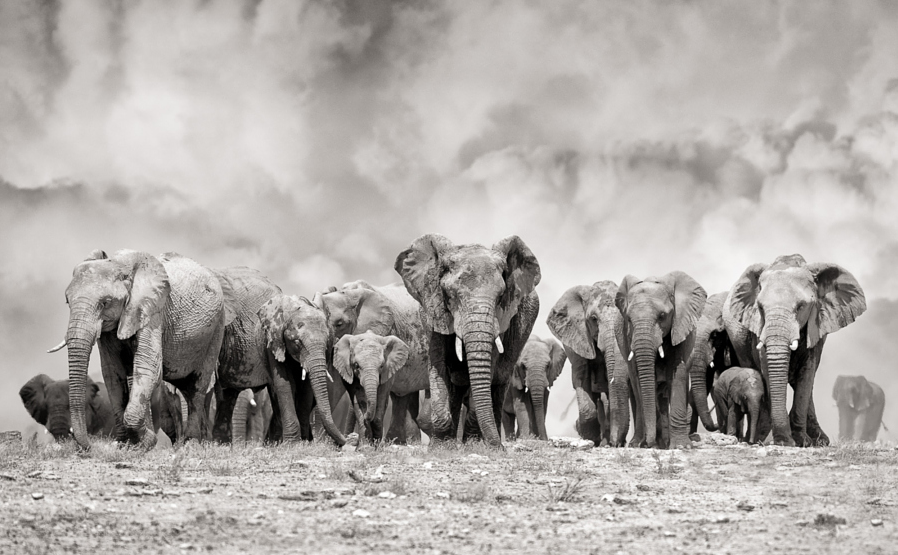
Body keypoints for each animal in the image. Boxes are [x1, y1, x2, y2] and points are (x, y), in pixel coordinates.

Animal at [50, 249, 226, 449]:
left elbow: (149, 367)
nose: (90, 446)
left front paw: (146, 441)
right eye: (67, 302)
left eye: (105, 302)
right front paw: (123, 444)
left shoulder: (153, 311)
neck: (119, 265)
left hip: (217, 328)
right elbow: (112, 373)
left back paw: (190, 444)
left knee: (197, 387)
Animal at [395, 234, 540, 447]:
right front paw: (440, 447)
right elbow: (438, 366)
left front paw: (474, 444)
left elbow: (488, 369)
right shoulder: (434, 312)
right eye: (452, 295)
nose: (501, 449)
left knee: (499, 382)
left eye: (500, 297)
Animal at [615, 272, 707, 449]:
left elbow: (678, 372)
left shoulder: (680, 326)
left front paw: (681, 446)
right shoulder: (627, 337)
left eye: (663, 316)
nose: (648, 444)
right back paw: (638, 443)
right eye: (628, 319)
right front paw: (651, 444)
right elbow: (641, 379)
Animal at [723, 254, 866, 447]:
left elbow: (807, 372)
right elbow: (767, 369)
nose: (784, 441)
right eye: (760, 308)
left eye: (801, 307)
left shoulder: (817, 324)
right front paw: (786, 441)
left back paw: (820, 441)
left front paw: (801, 441)